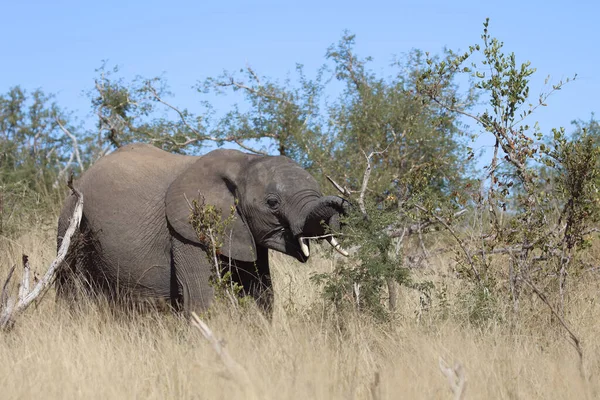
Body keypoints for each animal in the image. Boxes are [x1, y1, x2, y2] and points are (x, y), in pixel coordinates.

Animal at [57, 142, 346, 318]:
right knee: (71, 289)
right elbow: (201, 297)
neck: (245, 163)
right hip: (71, 224)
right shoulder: (186, 230)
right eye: (272, 203)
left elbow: (261, 296)